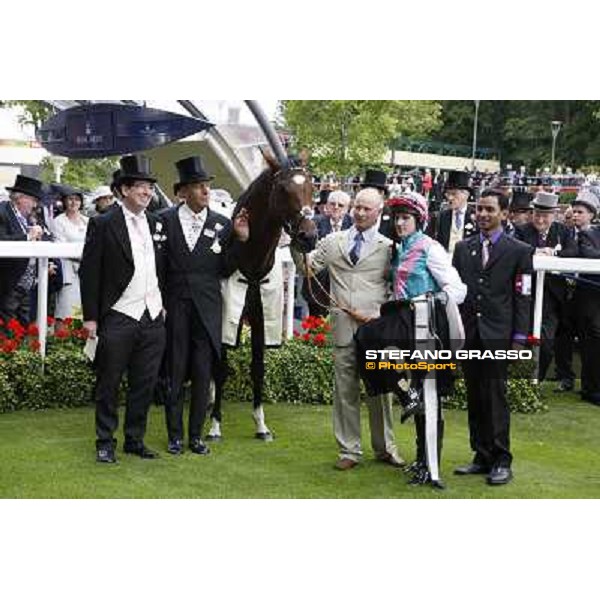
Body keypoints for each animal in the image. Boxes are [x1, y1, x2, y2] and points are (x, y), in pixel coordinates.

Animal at [207, 151, 314, 440]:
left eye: (311, 187)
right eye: (284, 189)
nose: (308, 237)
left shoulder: (260, 318)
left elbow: (258, 368)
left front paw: (261, 425)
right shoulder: (224, 317)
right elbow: (221, 368)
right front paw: (214, 425)